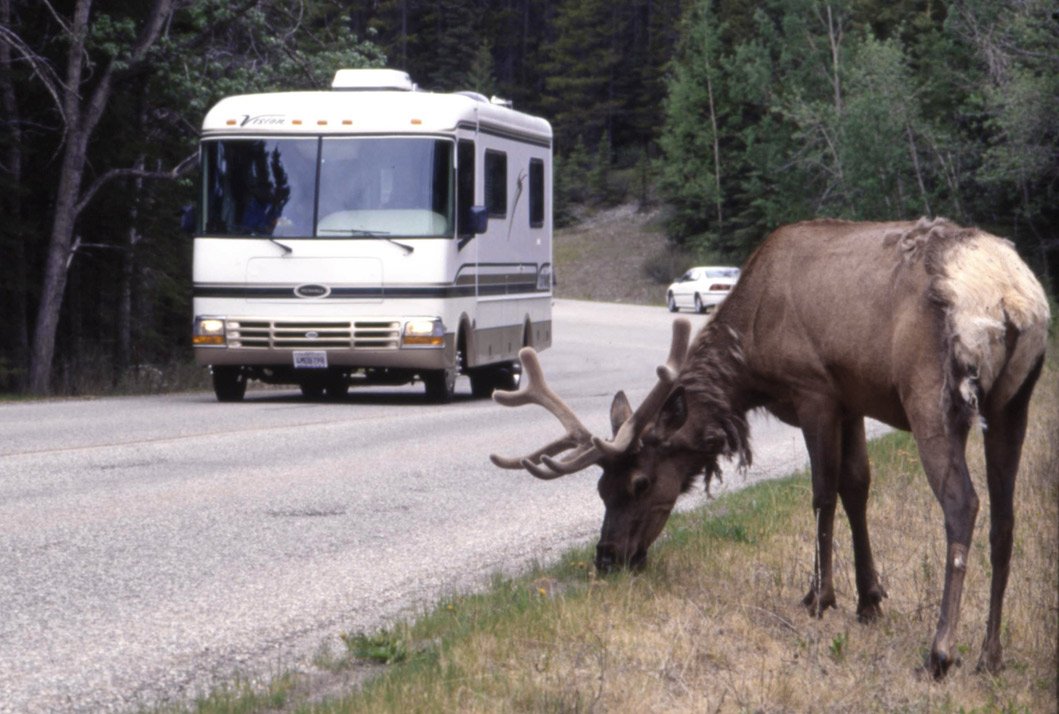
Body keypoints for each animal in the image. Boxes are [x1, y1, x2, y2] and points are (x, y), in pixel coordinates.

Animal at [489, 218, 1050, 677]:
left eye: (639, 482)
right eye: (601, 489)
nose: (607, 557)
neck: (751, 356)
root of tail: (1014, 299)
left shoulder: (814, 390)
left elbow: (823, 494)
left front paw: (820, 596)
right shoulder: (851, 398)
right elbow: (857, 488)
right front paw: (870, 600)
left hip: (930, 394)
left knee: (963, 504)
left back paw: (941, 652)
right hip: (1013, 402)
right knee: (1005, 516)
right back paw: (991, 655)